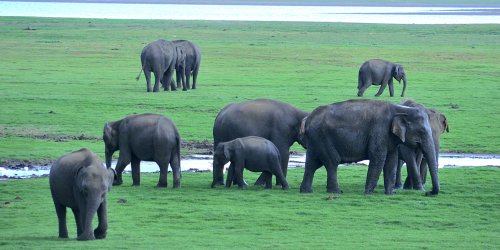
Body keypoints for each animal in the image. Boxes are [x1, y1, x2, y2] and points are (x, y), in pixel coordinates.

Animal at [298, 99, 440, 195]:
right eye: (422, 131)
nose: (428, 192)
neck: (401, 109)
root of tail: (308, 119)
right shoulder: (379, 130)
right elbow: (378, 158)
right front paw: (368, 193)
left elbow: (391, 161)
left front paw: (390, 194)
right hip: (322, 137)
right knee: (332, 162)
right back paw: (336, 192)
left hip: (315, 140)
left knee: (312, 164)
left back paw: (306, 191)